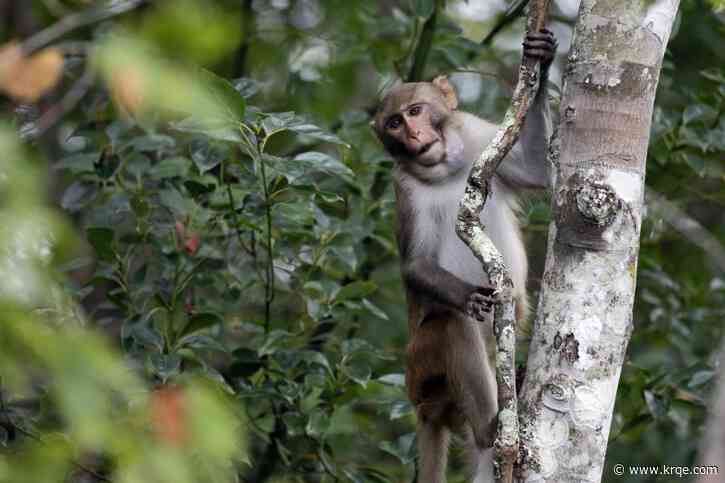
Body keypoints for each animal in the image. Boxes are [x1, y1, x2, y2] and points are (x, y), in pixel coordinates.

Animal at [372, 30, 557, 483]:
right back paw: (491, 429)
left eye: (416, 111)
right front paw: (468, 295)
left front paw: (542, 61)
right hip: (422, 371)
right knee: (450, 325)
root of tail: (423, 408)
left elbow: (535, 171)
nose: (414, 136)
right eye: (394, 123)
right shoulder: (405, 189)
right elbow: (416, 265)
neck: (444, 168)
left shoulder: (476, 135)